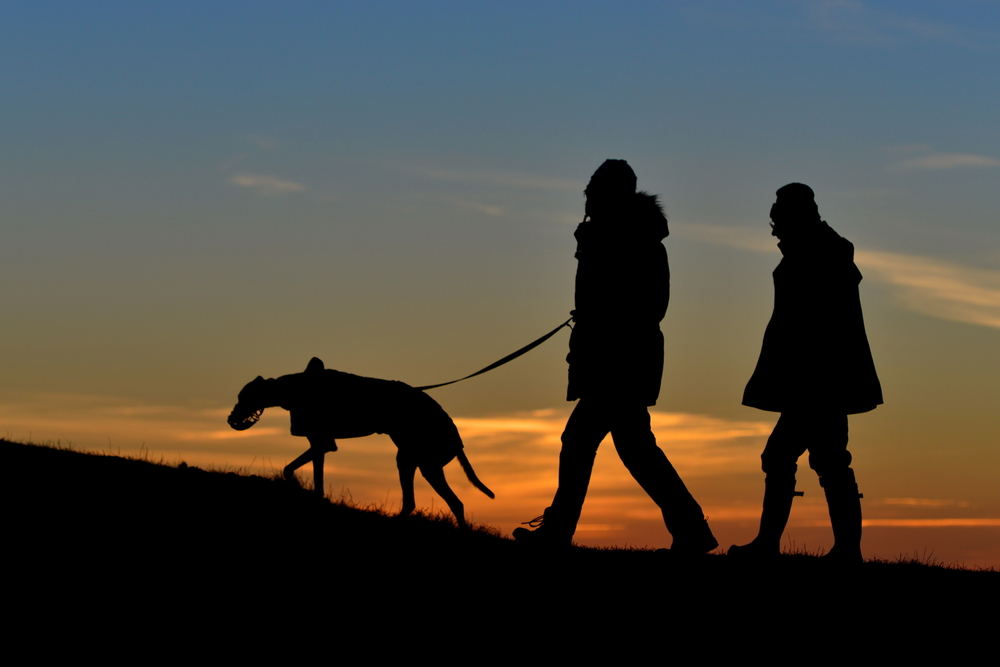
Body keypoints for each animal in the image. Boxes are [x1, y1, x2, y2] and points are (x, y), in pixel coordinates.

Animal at [227, 358, 492, 528]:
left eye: (243, 396)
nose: (230, 419)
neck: (296, 388)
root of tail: (457, 438)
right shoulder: (321, 444)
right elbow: (312, 478)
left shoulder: (322, 443)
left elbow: (291, 469)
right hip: (410, 459)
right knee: (420, 502)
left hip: (424, 463)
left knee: (454, 503)